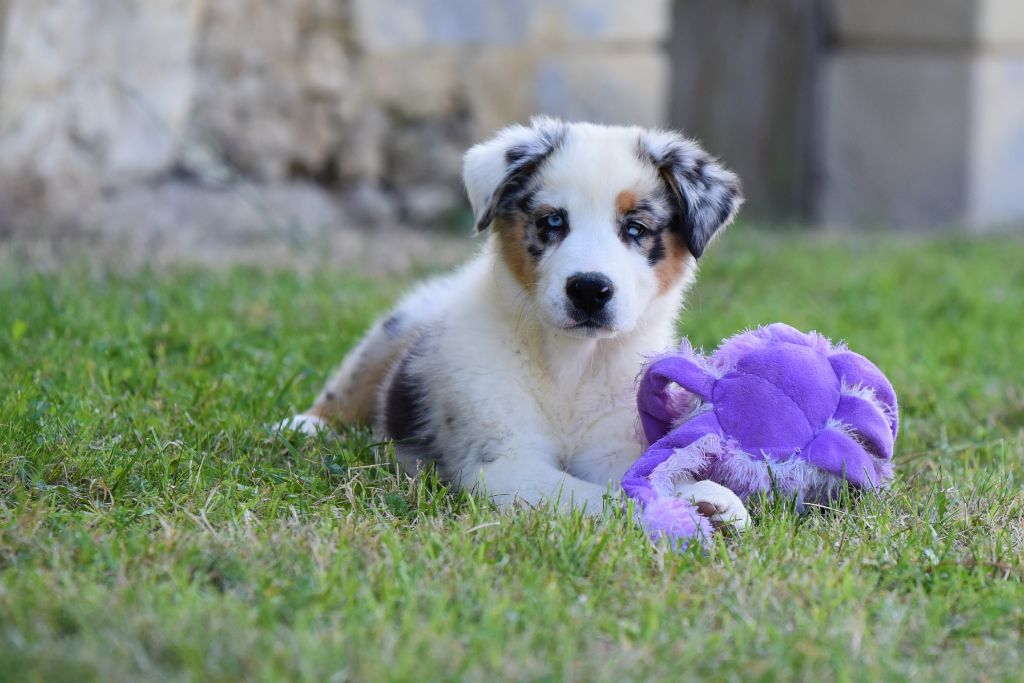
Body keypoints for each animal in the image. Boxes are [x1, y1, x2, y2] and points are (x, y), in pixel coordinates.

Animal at [284, 117, 749, 528]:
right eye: (552, 221)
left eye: (636, 228)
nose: (588, 290)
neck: (571, 366)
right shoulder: (502, 460)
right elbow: (596, 495)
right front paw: (673, 508)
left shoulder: (611, 443)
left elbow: (641, 470)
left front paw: (706, 495)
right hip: (398, 325)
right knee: (349, 385)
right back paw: (305, 425)